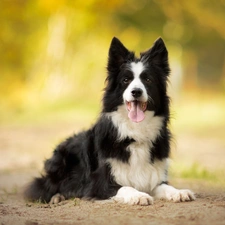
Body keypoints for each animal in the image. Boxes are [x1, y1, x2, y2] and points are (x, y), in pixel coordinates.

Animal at [23, 37, 195, 206]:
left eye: (148, 80)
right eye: (126, 80)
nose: (136, 92)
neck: (135, 133)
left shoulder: (154, 176)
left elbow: (165, 186)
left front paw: (179, 192)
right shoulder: (101, 182)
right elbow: (126, 187)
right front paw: (139, 195)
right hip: (59, 162)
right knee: (45, 186)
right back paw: (57, 197)